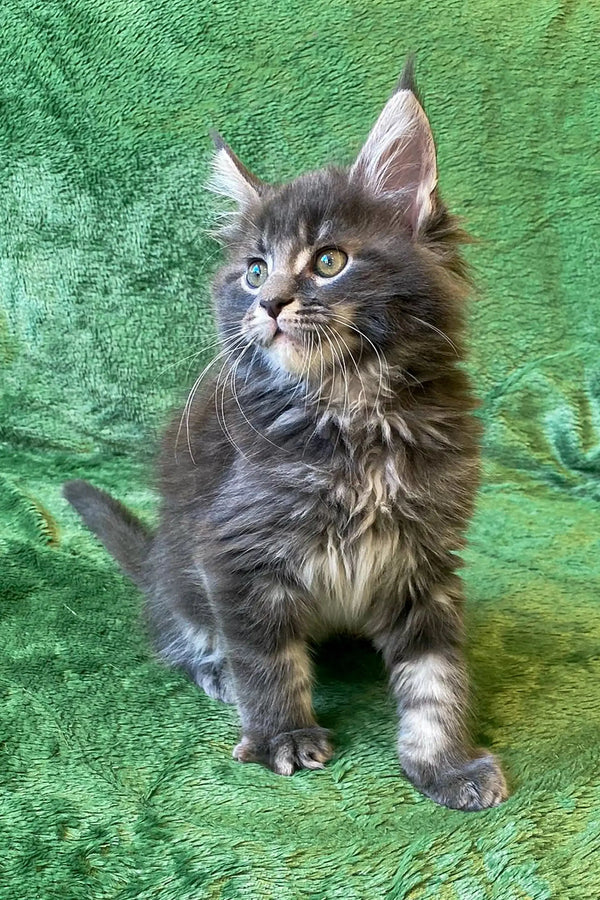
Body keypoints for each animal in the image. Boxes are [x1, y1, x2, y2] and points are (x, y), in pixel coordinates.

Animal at [64, 61, 506, 808]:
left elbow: (436, 676)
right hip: (178, 569)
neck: (354, 414)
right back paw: (214, 669)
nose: (269, 304)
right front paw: (281, 735)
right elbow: (266, 658)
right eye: (254, 271)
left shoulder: (426, 558)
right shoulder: (233, 550)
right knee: (176, 633)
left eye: (328, 261)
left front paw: (445, 763)